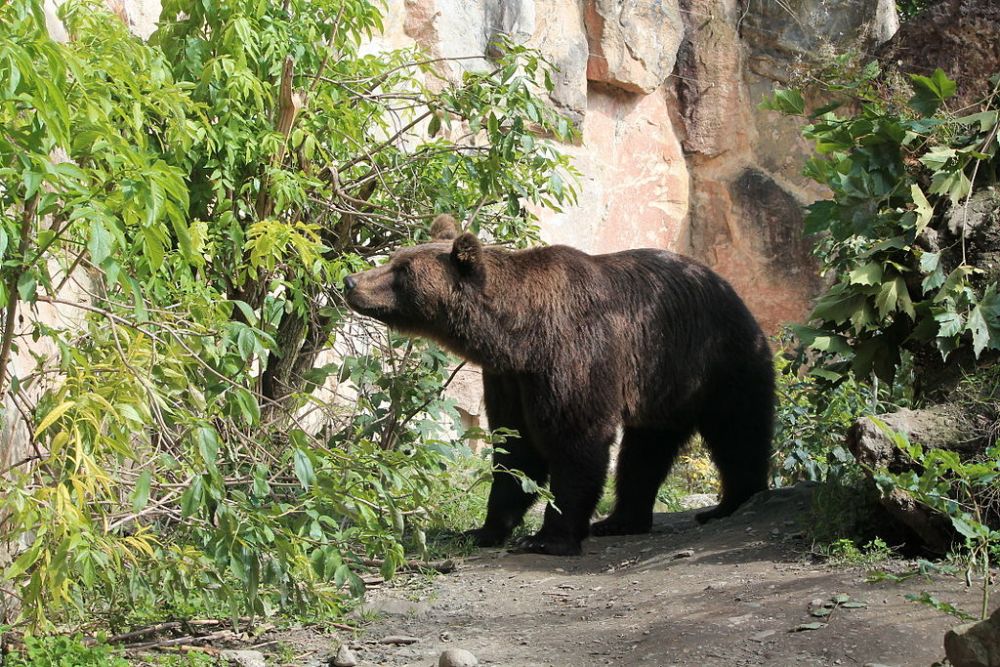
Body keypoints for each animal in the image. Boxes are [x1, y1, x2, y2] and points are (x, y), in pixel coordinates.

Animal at [343, 215, 774, 556]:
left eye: (402, 270)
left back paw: (729, 504)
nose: (350, 280)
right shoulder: (509, 379)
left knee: (738, 431)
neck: (518, 336)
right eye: (395, 258)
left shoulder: (572, 358)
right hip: (661, 390)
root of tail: (728, 287)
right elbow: (515, 450)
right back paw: (620, 520)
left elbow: (575, 440)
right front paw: (484, 529)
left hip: (713, 361)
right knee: (645, 451)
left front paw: (548, 538)